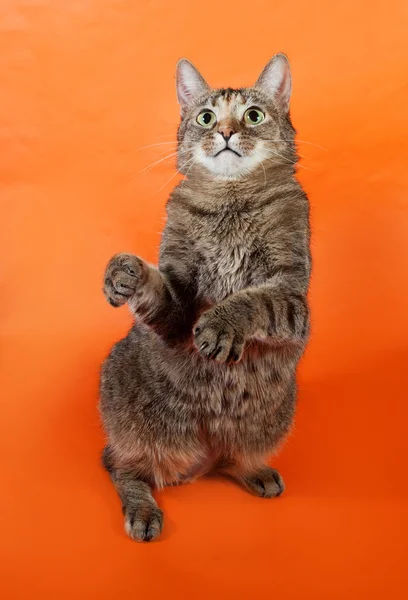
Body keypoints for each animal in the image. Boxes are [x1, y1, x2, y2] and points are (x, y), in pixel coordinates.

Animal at [100, 54, 310, 540]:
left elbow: (254, 300)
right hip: (132, 420)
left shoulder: (292, 295)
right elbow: (160, 290)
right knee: (123, 467)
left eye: (253, 115)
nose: (228, 132)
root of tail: (200, 456)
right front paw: (128, 271)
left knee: (233, 456)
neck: (229, 202)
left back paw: (255, 470)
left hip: (273, 417)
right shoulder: (177, 308)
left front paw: (220, 325)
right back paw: (142, 511)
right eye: (206, 117)